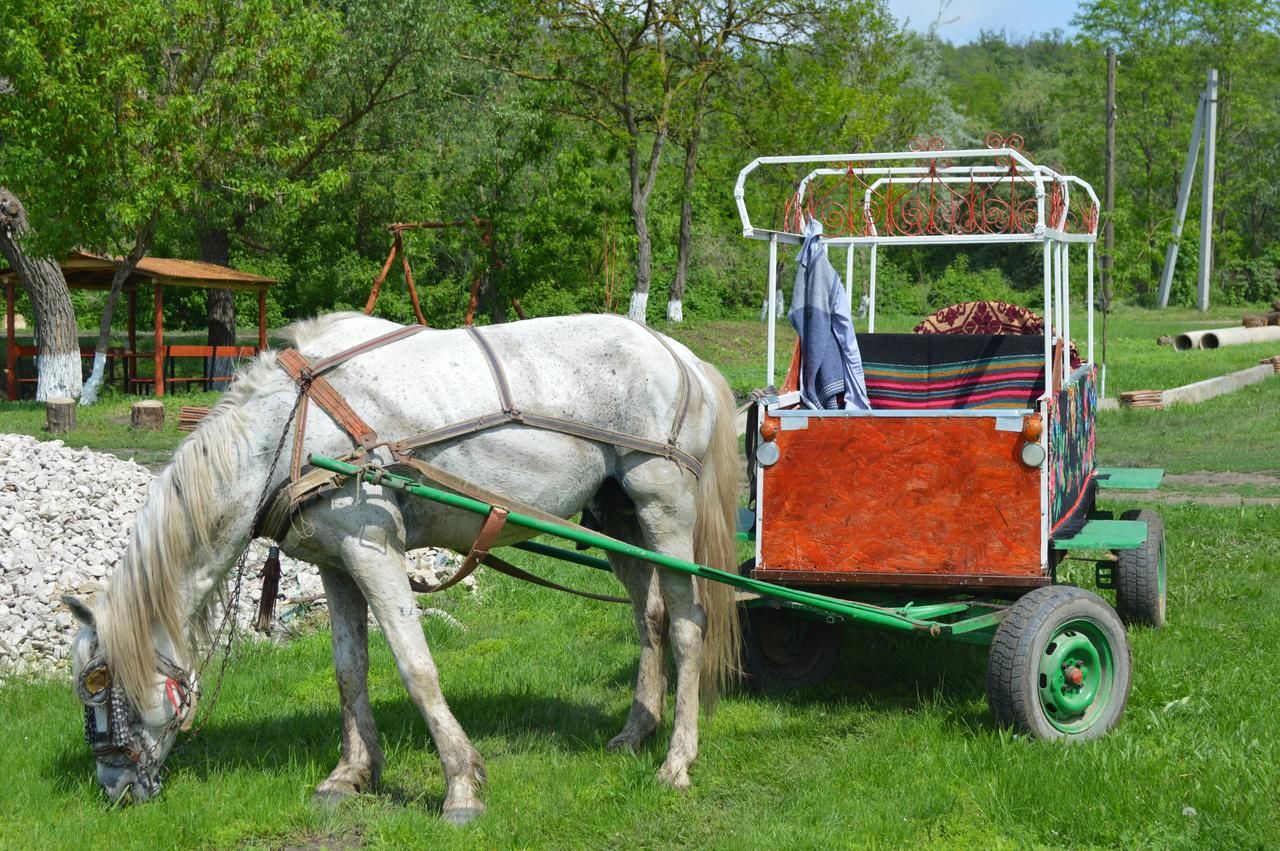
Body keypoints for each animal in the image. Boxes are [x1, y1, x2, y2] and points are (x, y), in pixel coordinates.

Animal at [62, 313, 742, 824]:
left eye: (97, 681)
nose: (112, 788)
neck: (291, 428)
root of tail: (680, 355)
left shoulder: (373, 551)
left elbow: (416, 667)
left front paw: (461, 786)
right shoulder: (336, 564)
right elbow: (348, 670)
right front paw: (350, 774)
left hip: (664, 509)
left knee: (688, 624)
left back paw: (677, 761)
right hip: (617, 520)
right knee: (650, 617)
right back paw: (635, 732)